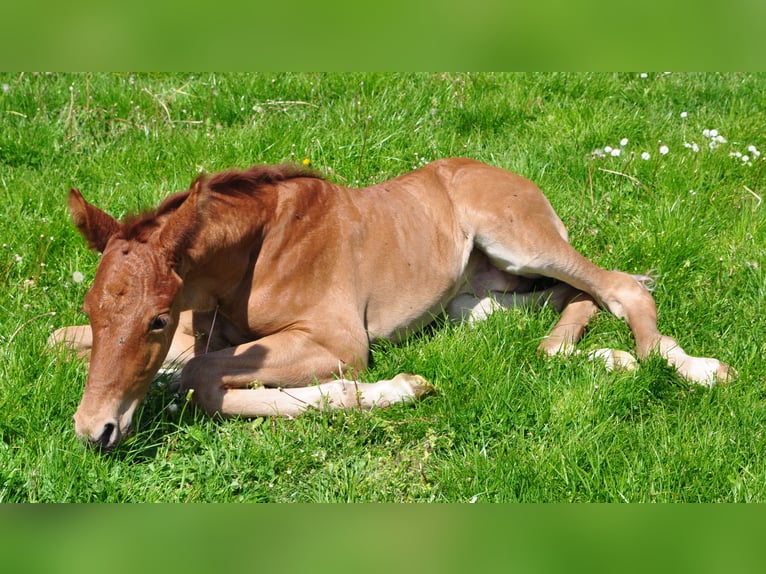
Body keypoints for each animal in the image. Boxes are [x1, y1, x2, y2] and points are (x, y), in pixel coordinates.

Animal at [49, 158, 733, 450]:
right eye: (92, 308)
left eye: (157, 319)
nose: (93, 431)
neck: (255, 252)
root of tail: (518, 179)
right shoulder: (213, 335)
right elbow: (58, 342)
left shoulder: (337, 339)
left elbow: (196, 380)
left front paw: (392, 388)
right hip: (477, 294)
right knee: (569, 299)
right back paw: (584, 355)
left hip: (519, 240)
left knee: (620, 286)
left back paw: (685, 367)